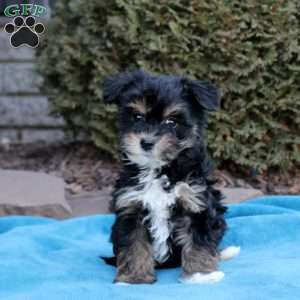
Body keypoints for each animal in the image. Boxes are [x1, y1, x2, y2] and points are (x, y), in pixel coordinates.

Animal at [102, 69, 239, 284]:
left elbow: (199, 243)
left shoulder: (195, 203)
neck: (160, 169)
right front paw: (134, 278)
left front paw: (200, 274)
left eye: (171, 122)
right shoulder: (131, 206)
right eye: (137, 117)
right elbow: (134, 245)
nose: (146, 142)